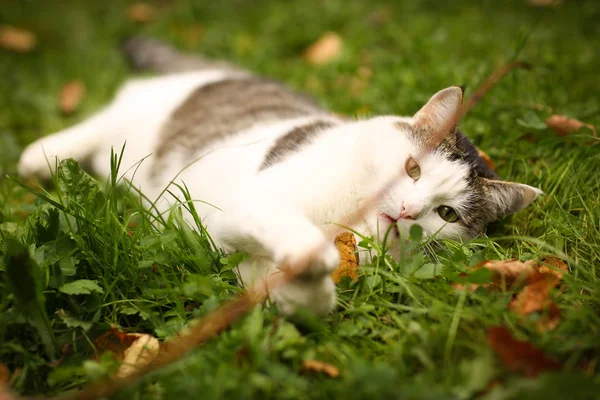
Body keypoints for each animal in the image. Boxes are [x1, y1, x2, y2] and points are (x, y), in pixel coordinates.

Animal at [18, 38, 544, 316]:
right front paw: (313, 255)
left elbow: (295, 294)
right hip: (137, 115)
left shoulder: (238, 255)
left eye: (447, 214)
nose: (407, 211)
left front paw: (308, 283)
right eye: (412, 168)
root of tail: (223, 71)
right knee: (101, 121)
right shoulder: (248, 204)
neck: (351, 223)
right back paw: (39, 156)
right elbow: (293, 230)